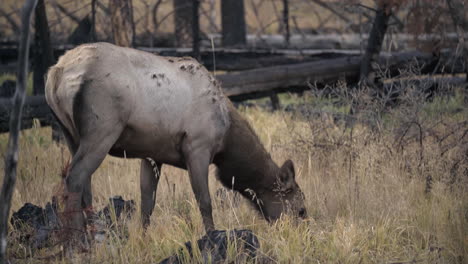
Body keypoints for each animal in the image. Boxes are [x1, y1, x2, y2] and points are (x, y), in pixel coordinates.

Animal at [44, 42, 308, 237]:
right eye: (301, 210)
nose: (298, 235)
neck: (227, 140)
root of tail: (56, 74)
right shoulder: (198, 147)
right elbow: (204, 201)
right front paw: (212, 235)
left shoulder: (152, 155)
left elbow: (147, 203)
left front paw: (143, 237)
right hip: (102, 129)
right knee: (75, 177)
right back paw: (78, 239)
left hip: (70, 134)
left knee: (83, 184)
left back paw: (90, 233)